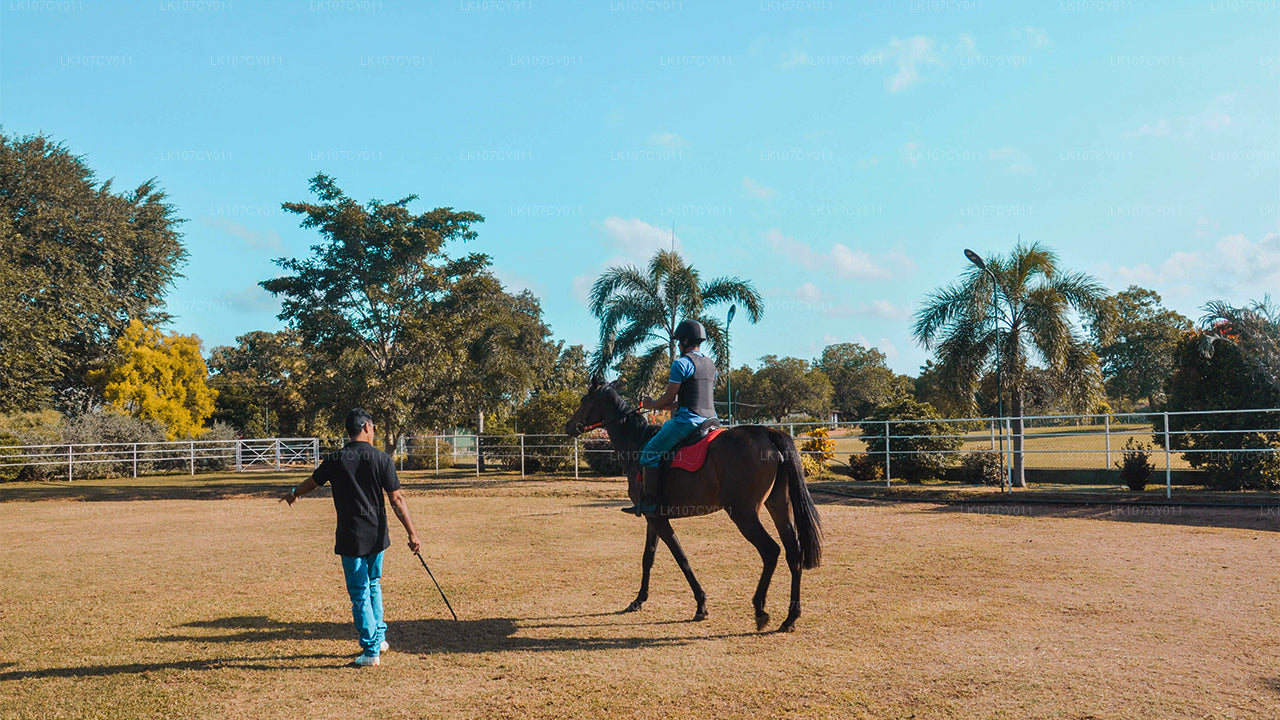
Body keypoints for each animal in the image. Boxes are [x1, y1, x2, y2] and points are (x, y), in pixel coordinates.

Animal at [565, 376, 824, 627]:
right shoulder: (653, 517)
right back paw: (790, 618)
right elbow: (648, 557)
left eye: (584, 400)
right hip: (778, 505)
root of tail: (768, 434)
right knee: (793, 552)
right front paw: (639, 600)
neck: (637, 443)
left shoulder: (659, 520)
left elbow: (681, 557)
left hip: (743, 514)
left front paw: (701, 604)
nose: (569, 426)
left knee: (770, 551)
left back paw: (760, 610)